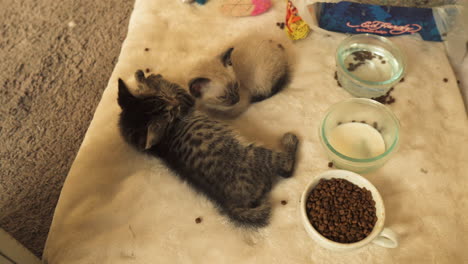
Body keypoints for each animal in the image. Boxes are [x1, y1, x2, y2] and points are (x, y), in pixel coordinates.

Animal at [118, 70, 300, 227]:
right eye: (169, 111)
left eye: (164, 100)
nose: (173, 103)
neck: (157, 145)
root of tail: (229, 204)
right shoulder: (185, 101)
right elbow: (177, 89)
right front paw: (154, 80)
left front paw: (142, 80)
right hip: (253, 153)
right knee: (286, 166)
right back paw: (290, 141)